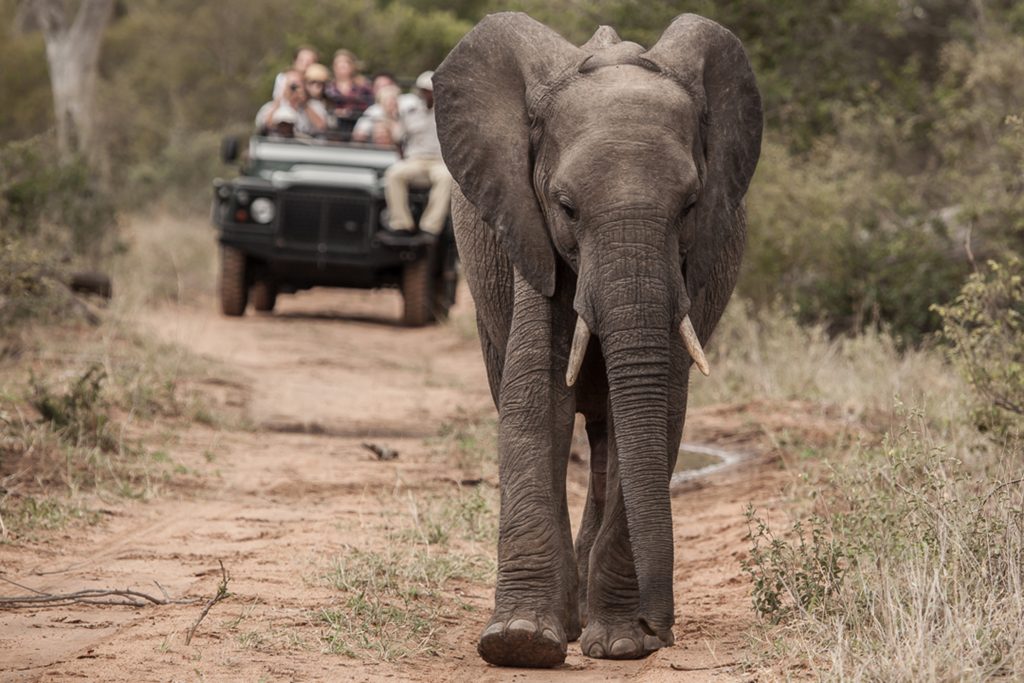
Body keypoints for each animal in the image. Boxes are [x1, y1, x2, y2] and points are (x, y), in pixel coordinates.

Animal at [432, 13, 761, 671]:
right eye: (566, 207)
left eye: (691, 206)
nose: (663, 628)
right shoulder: (529, 234)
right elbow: (536, 401)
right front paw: (522, 643)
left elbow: (661, 413)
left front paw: (621, 644)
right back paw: (564, 622)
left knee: (611, 437)